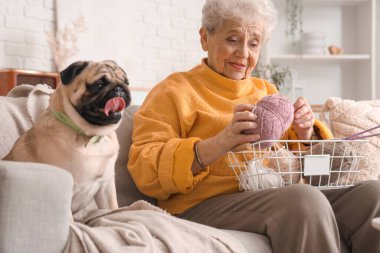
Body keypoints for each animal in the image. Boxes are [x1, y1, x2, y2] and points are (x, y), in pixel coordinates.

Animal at [3, 59, 132, 221]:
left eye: (127, 82)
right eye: (99, 84)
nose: (119, 89)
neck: (92, 136)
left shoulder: (106, 186)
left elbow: (113, 208)